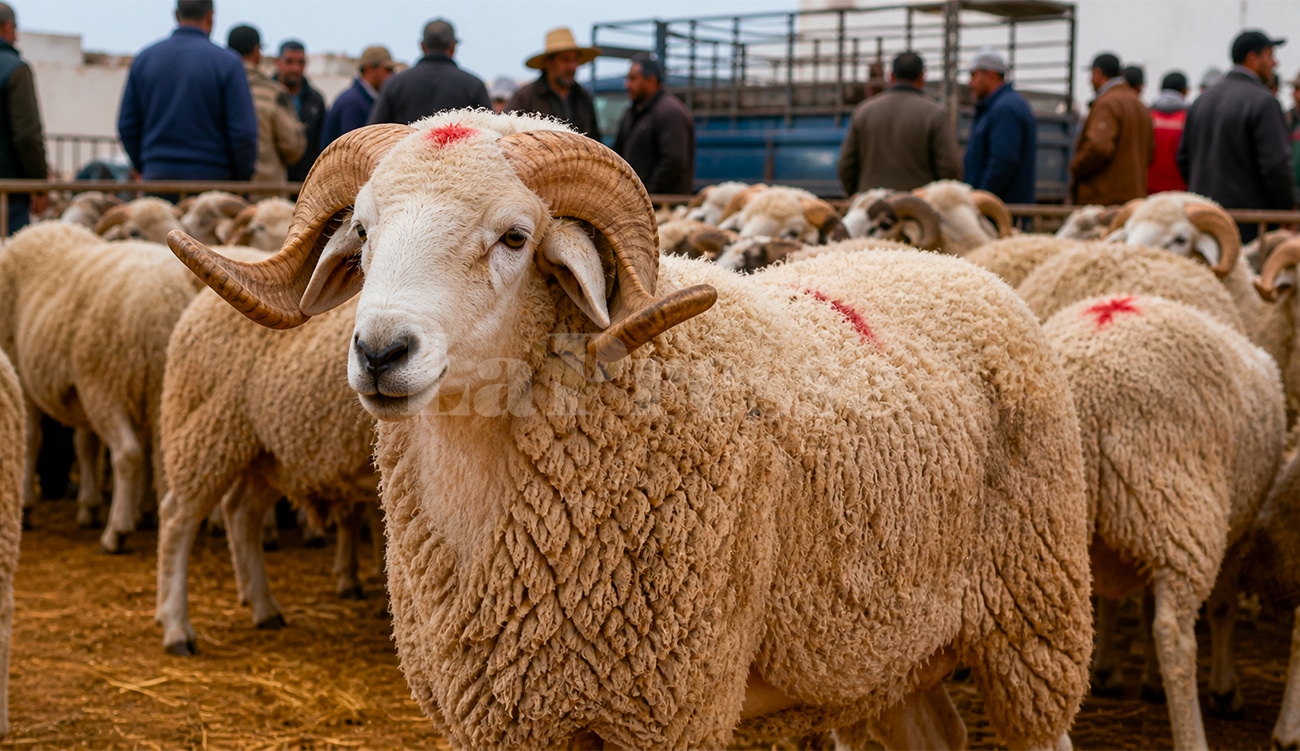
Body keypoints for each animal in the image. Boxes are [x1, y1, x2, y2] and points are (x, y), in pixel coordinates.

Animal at [0, 222, 200, 552]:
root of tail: (162, 309)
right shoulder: (78, 392)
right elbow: (85, 445)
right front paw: (89, 506)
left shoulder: (22, 370)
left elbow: (31, 438)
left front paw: (26, 507)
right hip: (159, 391)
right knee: (161, 458)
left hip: (104, 385)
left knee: (127, 454)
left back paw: (116, 532)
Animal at [155, 289, 379, 653]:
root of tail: (196, 305)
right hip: (206, 429)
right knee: (178, 519)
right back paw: (176, 628)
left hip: (269, 454)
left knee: (241, 511)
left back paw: (263, 608)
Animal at [1042, 293, 1284, 750]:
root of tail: (1088, 391)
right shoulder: (1235, 534)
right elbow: (1222, 607)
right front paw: (1225, 690)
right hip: (1181, 507)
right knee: (1174, 634)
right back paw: (1193, 737)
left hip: (1048, 521)